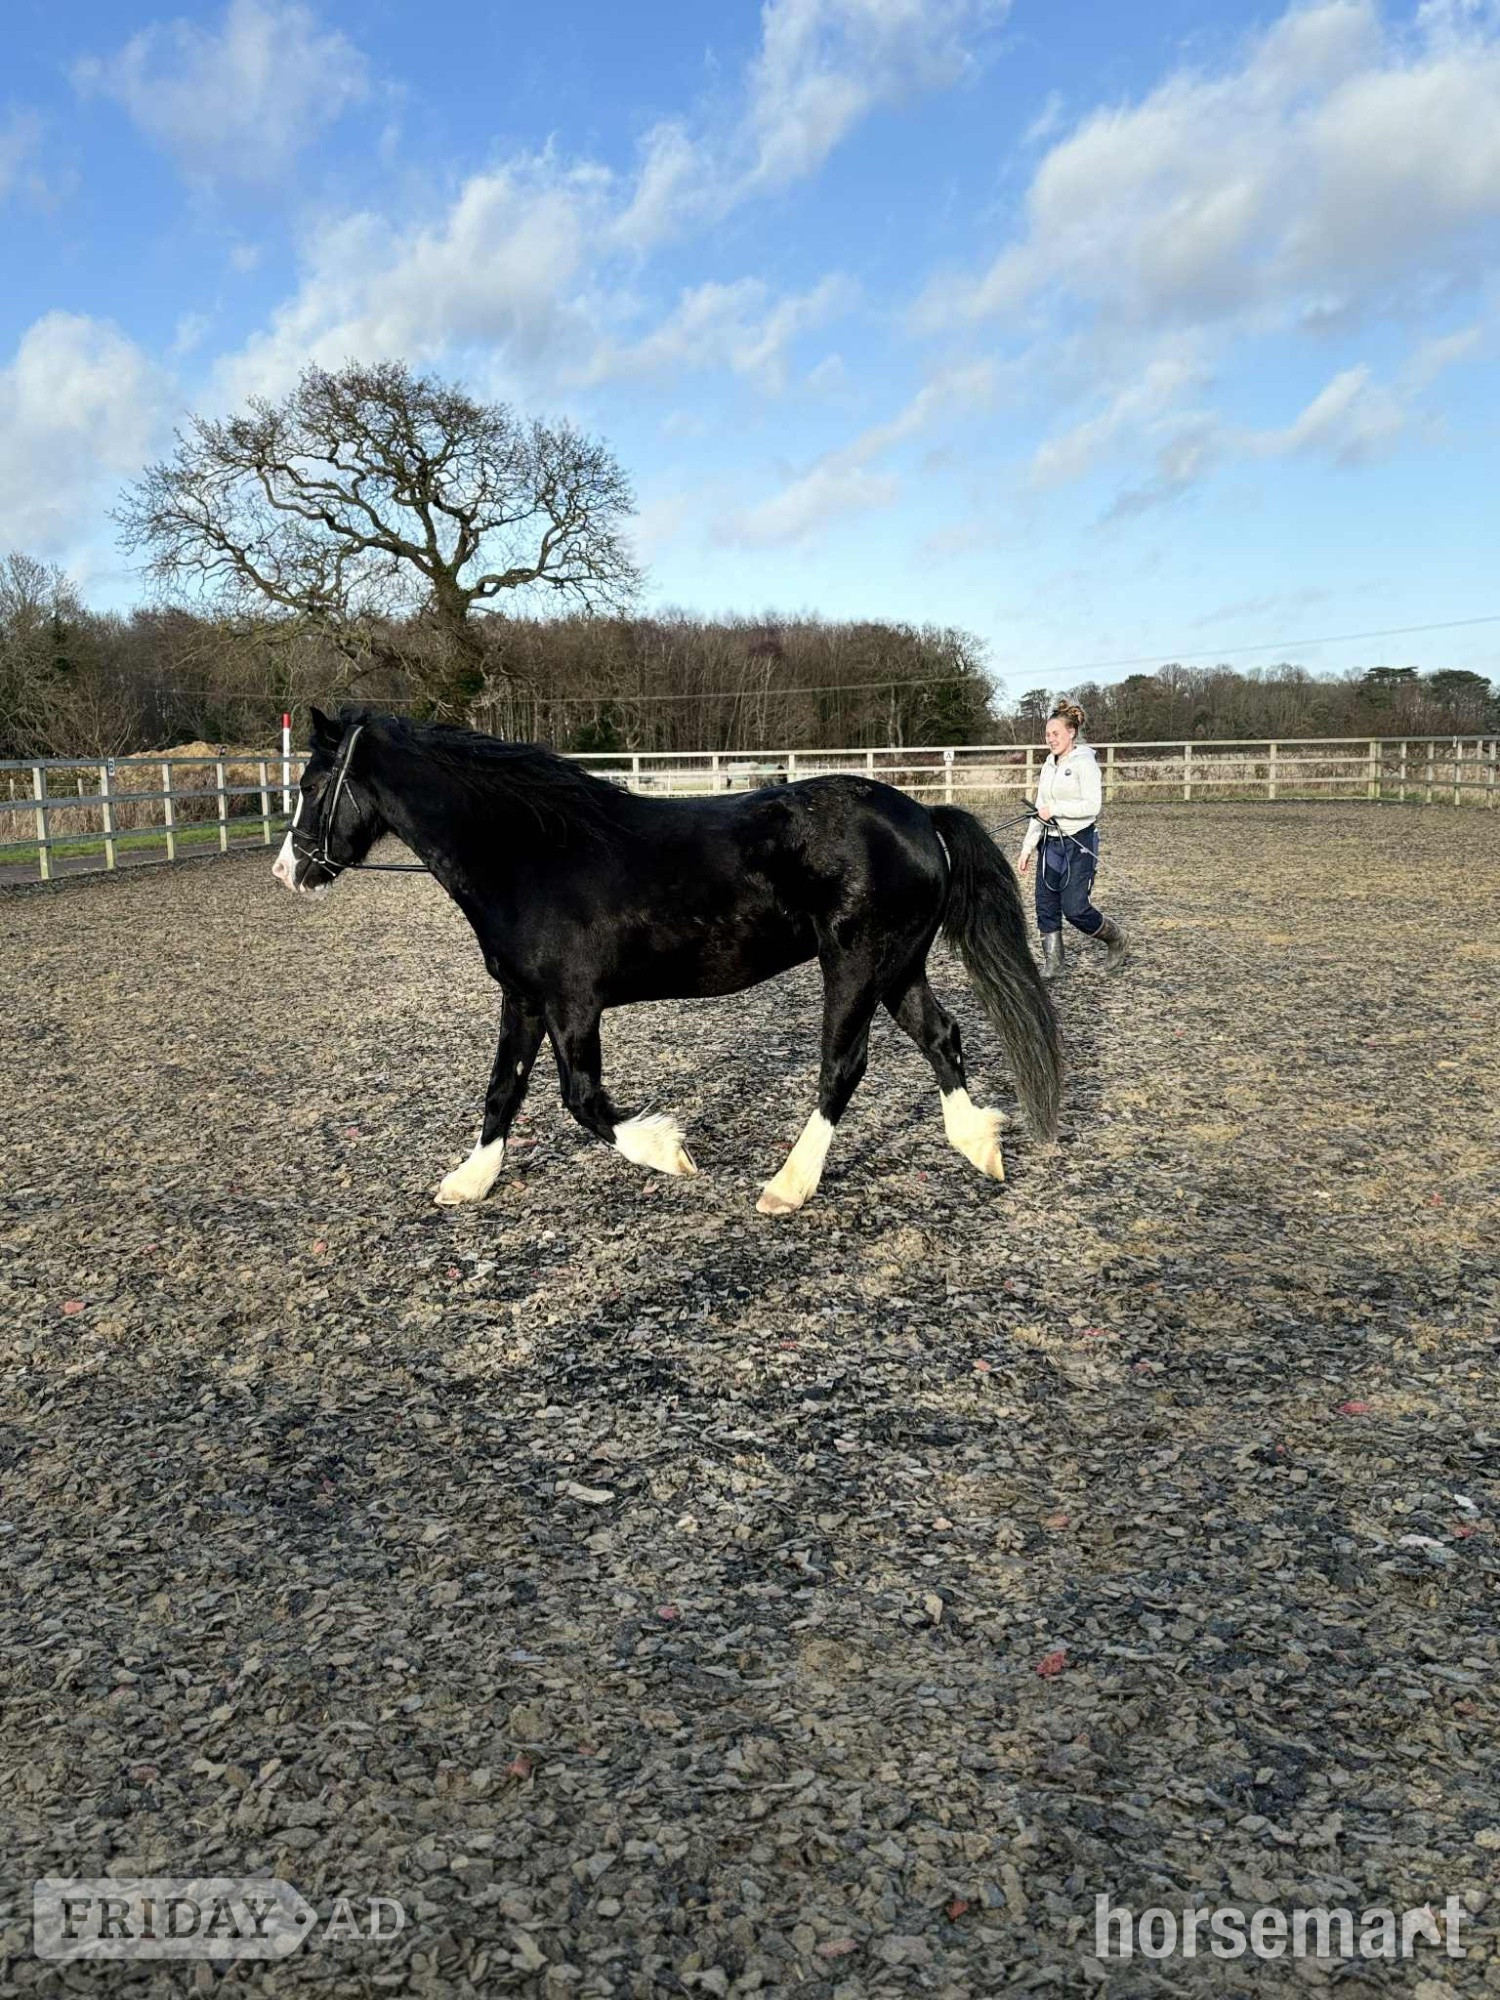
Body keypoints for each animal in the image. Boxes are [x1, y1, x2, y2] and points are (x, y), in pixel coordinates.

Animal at [272, 709, 1062, 1214]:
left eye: (310, 786)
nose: (286, 871)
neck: (527, 855)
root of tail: (923, 816)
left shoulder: (572, 1003)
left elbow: (583, 1101)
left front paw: (669, 1151)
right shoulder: (521, 999)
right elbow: (502, 1092)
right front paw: (470, 1181)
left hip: (858, 965)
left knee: (843, 1067)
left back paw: (788, 1185)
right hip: (898, 967)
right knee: (941, 1037)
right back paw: (978, 1147)